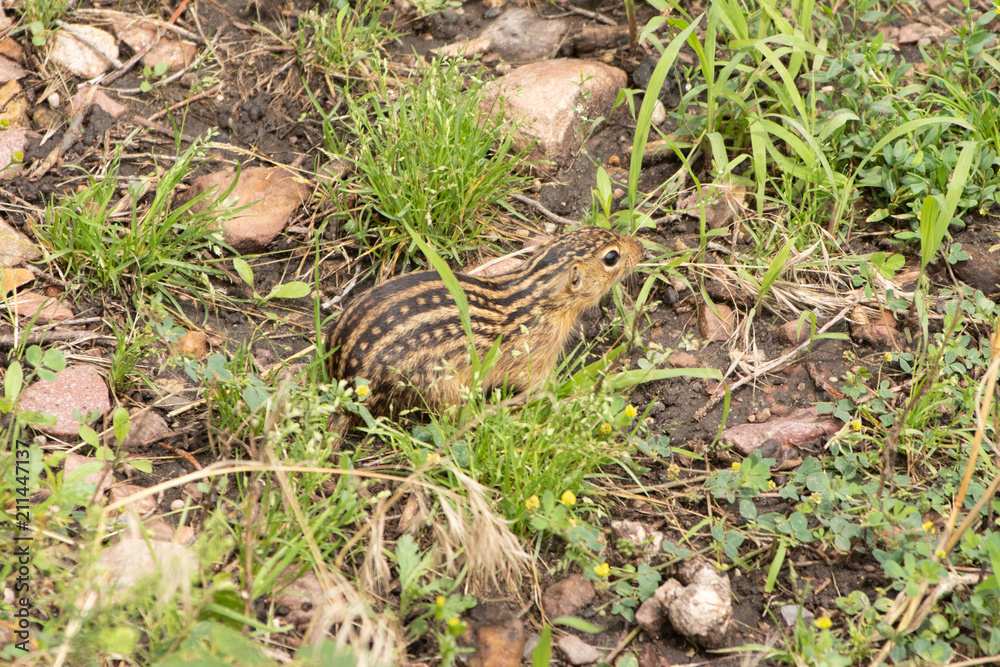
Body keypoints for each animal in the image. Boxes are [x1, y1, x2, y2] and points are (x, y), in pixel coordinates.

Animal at [324, 227, 644, 430]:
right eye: (611, 257)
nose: (641, 246)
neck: (539, 295)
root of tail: (344, 388)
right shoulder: (535, 358)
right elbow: (542, 384)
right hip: (442, 386)